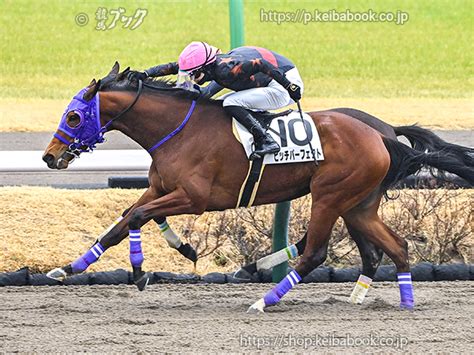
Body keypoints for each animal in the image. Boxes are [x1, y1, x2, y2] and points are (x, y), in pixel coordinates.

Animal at [42, 63, 472, 312]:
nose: (49, 157)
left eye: (74, 116)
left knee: (316, 252)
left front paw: (142, 271)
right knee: (392, 247)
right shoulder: (160, 188)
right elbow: (123, 221)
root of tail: (381, 136)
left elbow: (139, 217)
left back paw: (263, 299)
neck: (178, 130)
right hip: (358, 204)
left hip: (330, 196)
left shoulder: (194, 198)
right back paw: (399, 301)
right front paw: (69, 268)